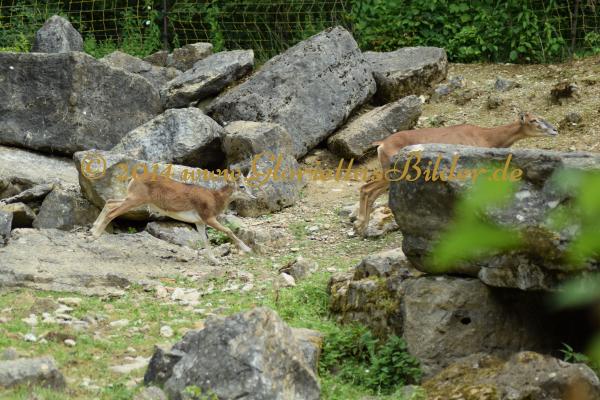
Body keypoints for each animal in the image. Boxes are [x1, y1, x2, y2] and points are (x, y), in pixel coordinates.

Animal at [90, 172, 257, 264]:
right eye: (241, 186)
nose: (253, 197)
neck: (215, 198)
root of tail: (133, 179)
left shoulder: (200, 222)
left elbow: (205, 240)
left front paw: (215, 261)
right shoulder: (208, 218)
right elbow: (228, 230)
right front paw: (247, 249)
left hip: (131, 199)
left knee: (110, 202)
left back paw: (92, 230)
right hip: (135, 200)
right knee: (112, 212)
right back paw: (95, 235)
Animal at [354, 112, 558, 236]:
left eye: (542, 117)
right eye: (534, 120)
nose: (555, 129)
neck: (486, 137)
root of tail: (381, 144)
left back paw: (361, 228)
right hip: (393, 170)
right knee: (366, 188)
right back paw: (360, 226)